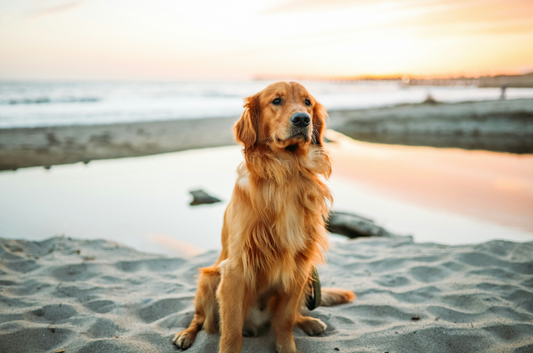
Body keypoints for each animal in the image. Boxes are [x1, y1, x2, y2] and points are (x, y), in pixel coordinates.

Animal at [174, 82, 354, 352]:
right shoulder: (235, 269)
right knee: (199, 320)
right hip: (208, 280)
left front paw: (287, 347)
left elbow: (285, 321)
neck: (287, 171)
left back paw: (309, 321)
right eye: (276, 101)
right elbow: (230, 332)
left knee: (292, 315)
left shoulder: (299, 266)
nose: (302, 119)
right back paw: (185, 335)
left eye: (308, 102)